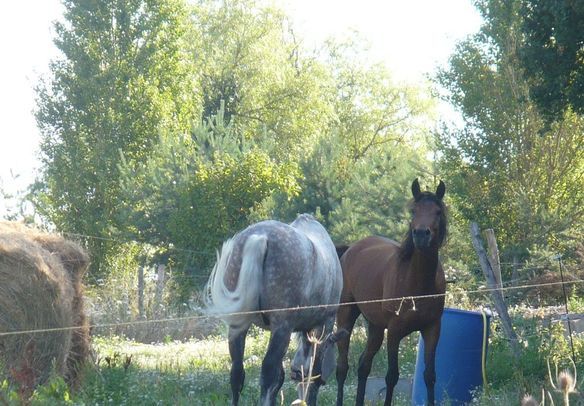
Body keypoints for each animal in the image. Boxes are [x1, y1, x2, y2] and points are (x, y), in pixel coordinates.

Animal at [205, 214, 344, 404]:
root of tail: (260, 237)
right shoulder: (323, 326)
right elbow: (311, 375)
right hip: (282, 327)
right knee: (268, 373)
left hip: (238, 327)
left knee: (237, 373)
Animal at [336, 179, 444, 406]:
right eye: (413, 211)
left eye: (438, 211)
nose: (421, 234)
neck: (418, 284)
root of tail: (351, 249)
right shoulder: (395, 332)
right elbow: (392, 376)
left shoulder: (432, 329)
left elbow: (430, 376)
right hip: (346, 316)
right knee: (342, 367)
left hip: (376, 327)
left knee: (363, 365)